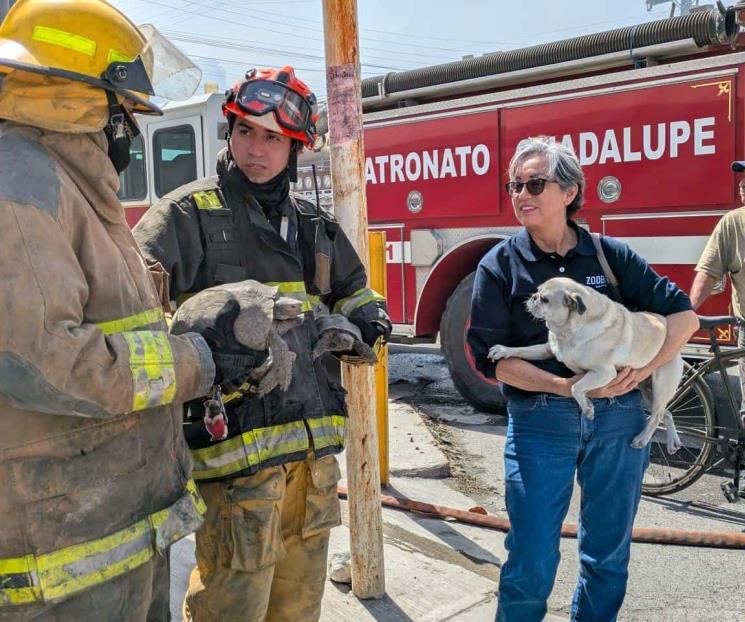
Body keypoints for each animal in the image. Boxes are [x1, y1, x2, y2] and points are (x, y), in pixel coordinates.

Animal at [486, 278, 684, 454]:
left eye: (545, 299)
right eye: (537, 291)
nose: (533, 297)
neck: (567, 332)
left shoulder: (604, 373)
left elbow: (575, 387)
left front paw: (587, 408)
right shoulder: (546, 350)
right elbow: (523, 350)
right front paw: (504, 350)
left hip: (660, 385)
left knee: (657, 415)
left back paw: (642, 439)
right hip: (648, 392)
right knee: (666, 412)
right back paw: (673, 441)